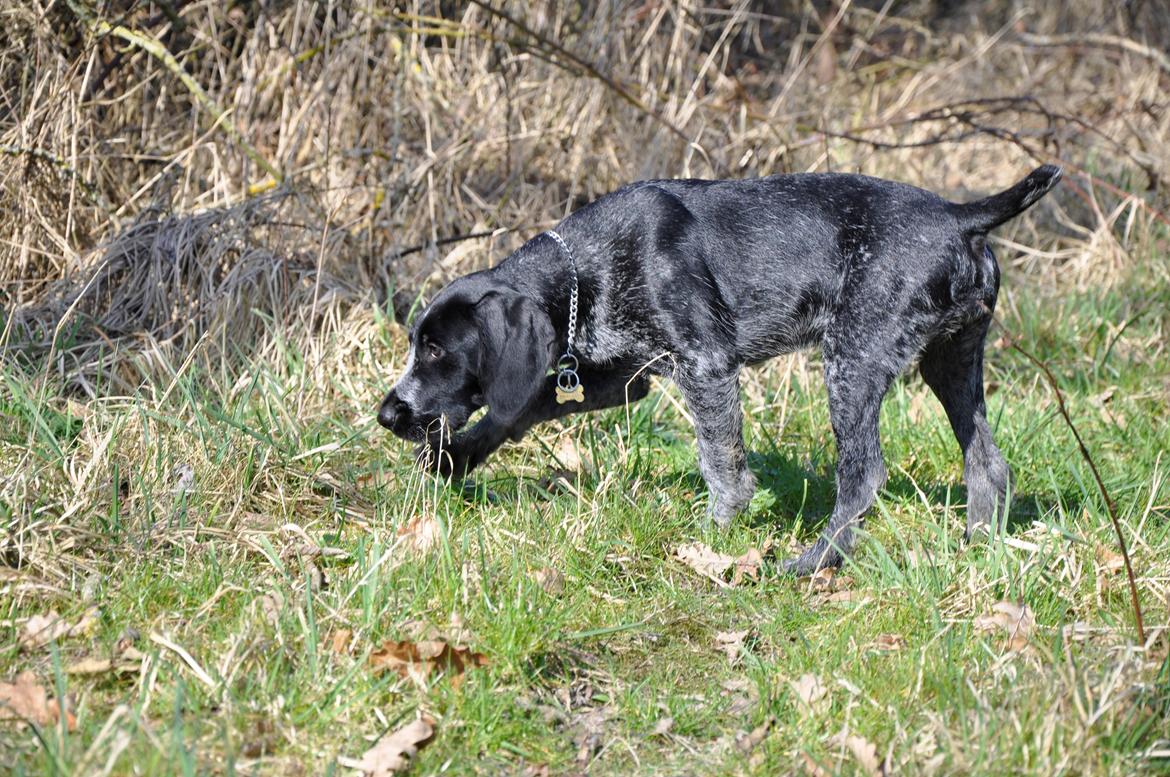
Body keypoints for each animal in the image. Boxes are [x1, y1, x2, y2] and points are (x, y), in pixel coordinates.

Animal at [374, 163, 1062, 573]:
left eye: (436, 351)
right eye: (417, 343)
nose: (386, 414)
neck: (583, 270)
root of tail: (957, 214)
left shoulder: (705, 365)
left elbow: (721, 462)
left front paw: (714, 536)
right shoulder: (621, 378)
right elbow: (523, 408)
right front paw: (456, 457)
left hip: (853, 361)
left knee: (864, 475)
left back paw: (814, 562)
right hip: (950, 361)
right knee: (987, 461)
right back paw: (978, 546)